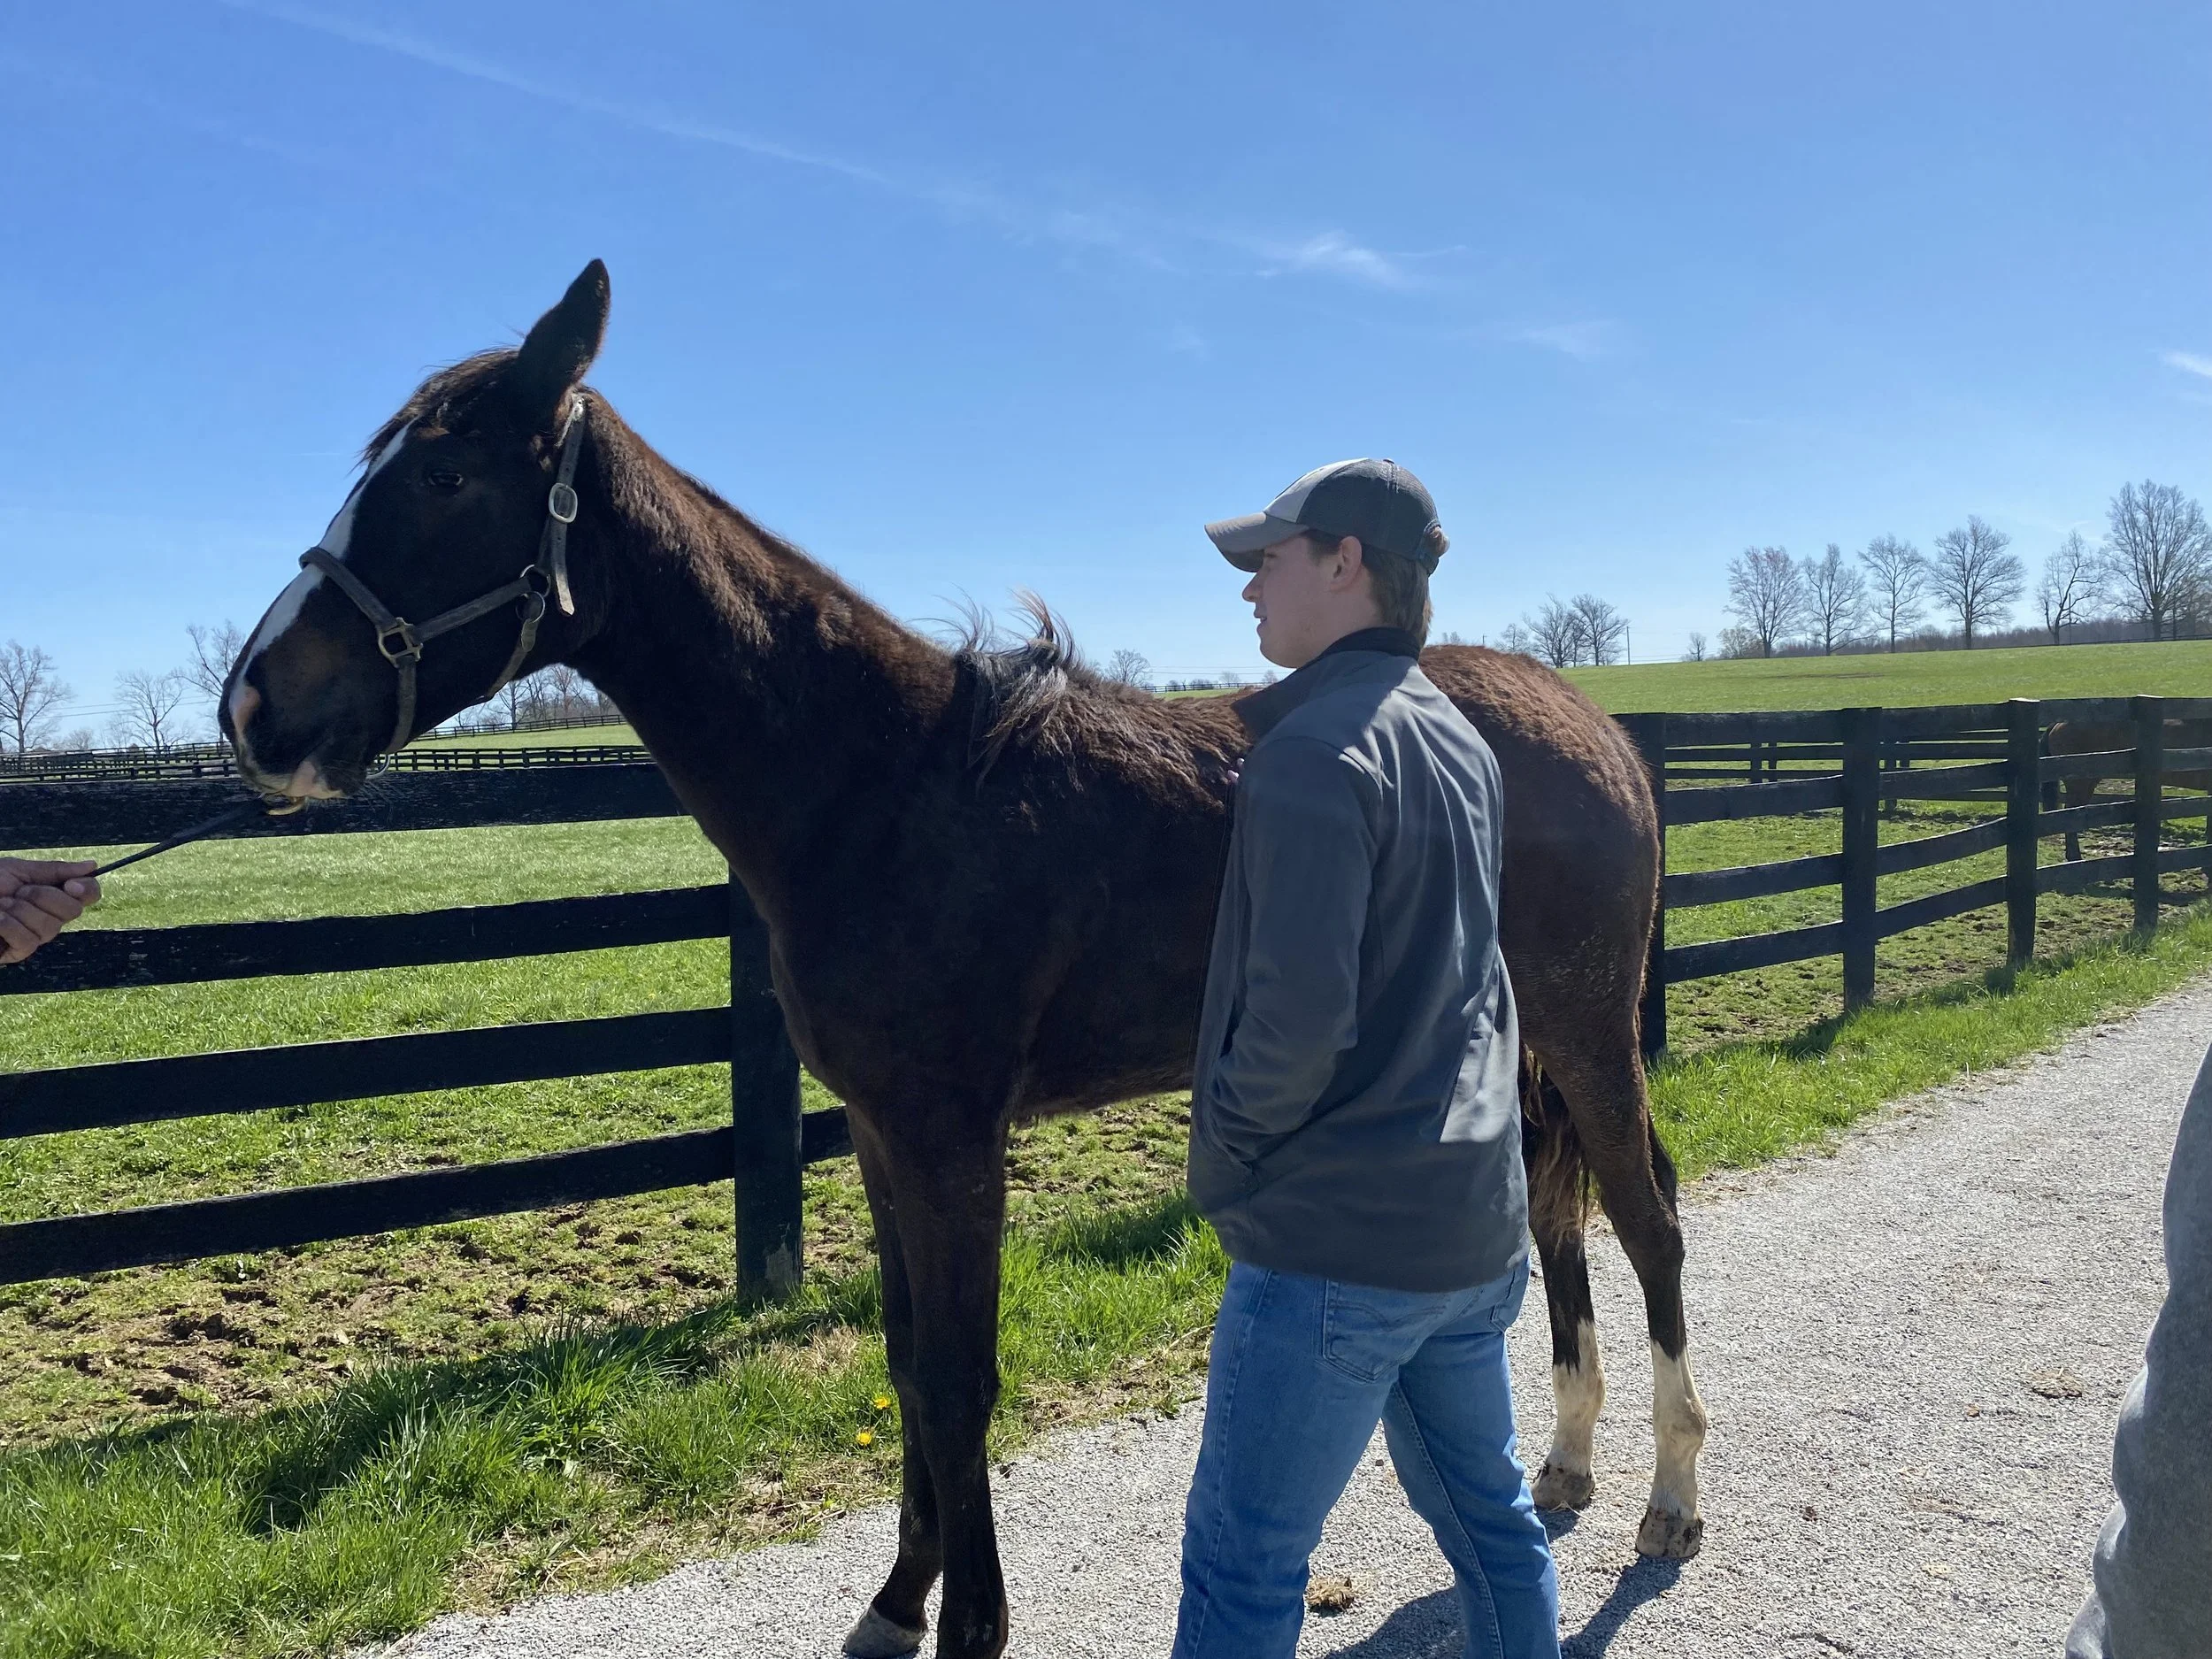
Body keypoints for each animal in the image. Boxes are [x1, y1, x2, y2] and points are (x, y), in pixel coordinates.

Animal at [220, 261, 1706, 1658]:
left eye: (447, 474)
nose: (254, 704)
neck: (883, 783)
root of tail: (1598, 723)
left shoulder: (953, 1141)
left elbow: (959, 1377)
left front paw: (972, 1620)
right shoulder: (884, 1134)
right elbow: (907, 1363)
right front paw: (899, 1595)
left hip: (1581, 1024)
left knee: (1646, 1214)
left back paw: (1669, 1497)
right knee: (1556, 1211)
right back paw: (1566, 1463)